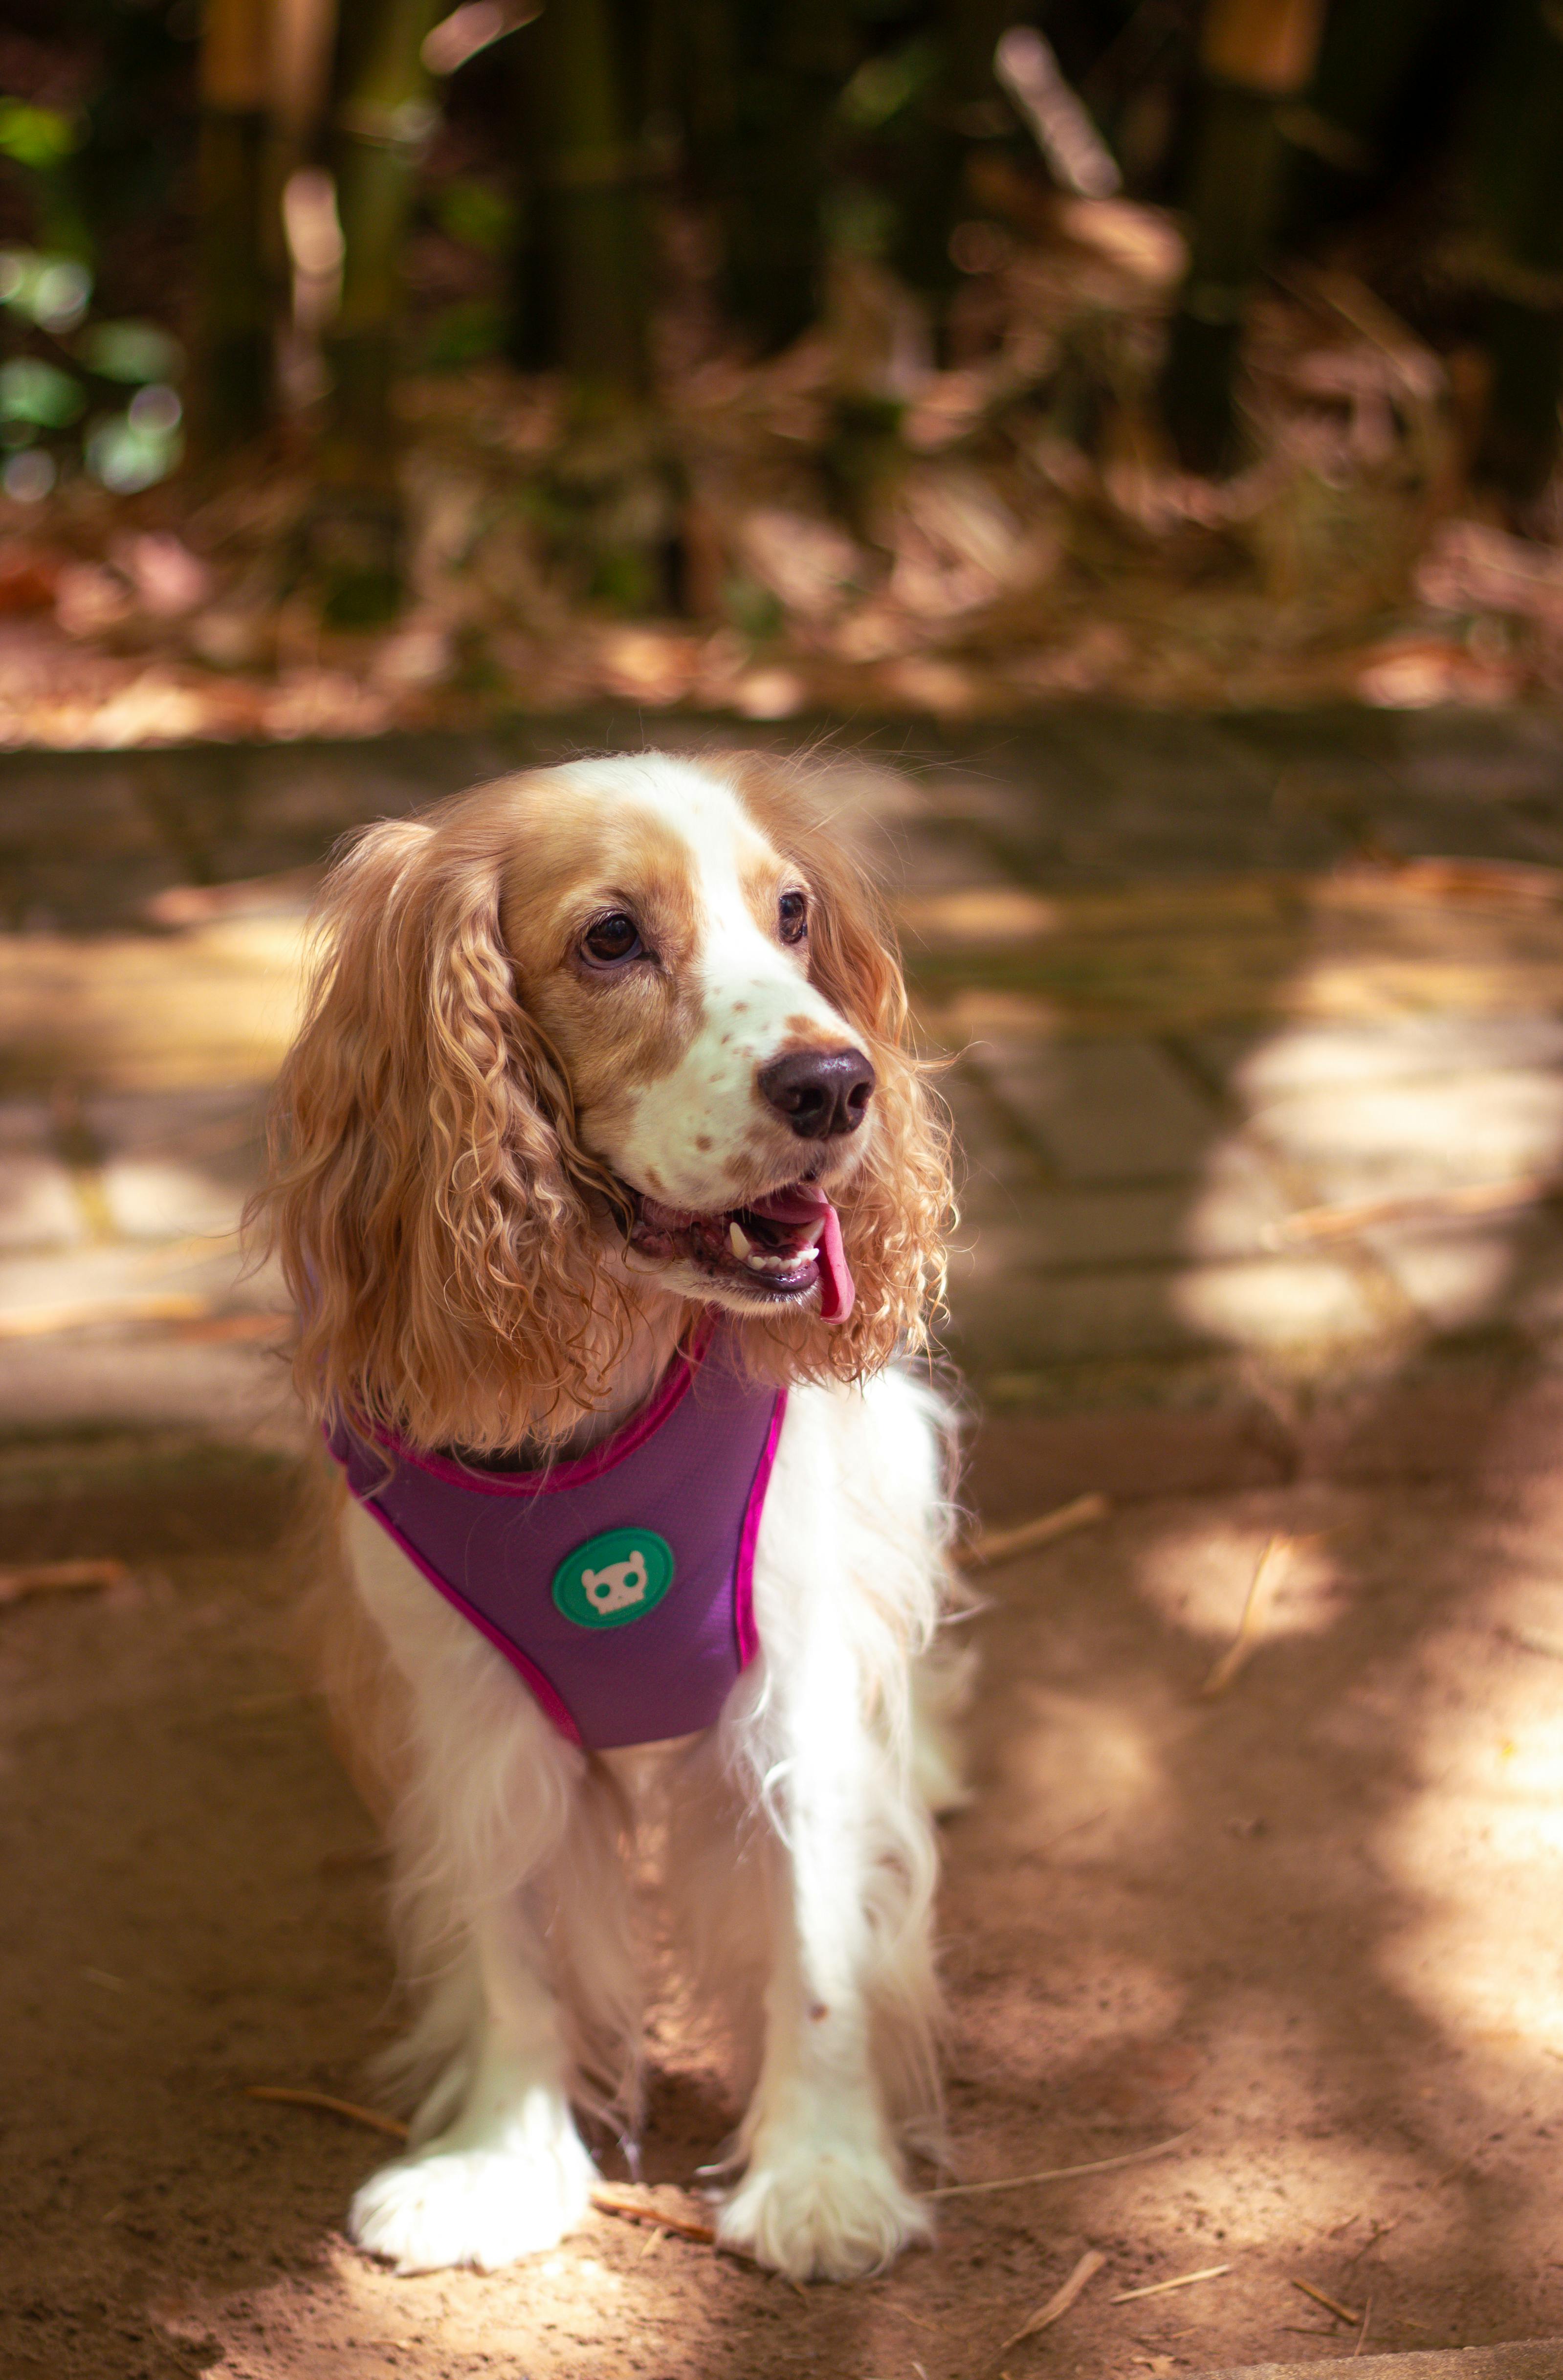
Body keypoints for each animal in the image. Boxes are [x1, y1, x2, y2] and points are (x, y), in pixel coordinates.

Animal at [253, 747, 961, 2285]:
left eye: (793, 914)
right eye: (611, 939)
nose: (837, 1081)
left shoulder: (795, 1684)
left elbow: (815, 1939)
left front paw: (821, 2175)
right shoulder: (470, 1710)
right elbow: (508, 1938)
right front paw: (497, 2163)